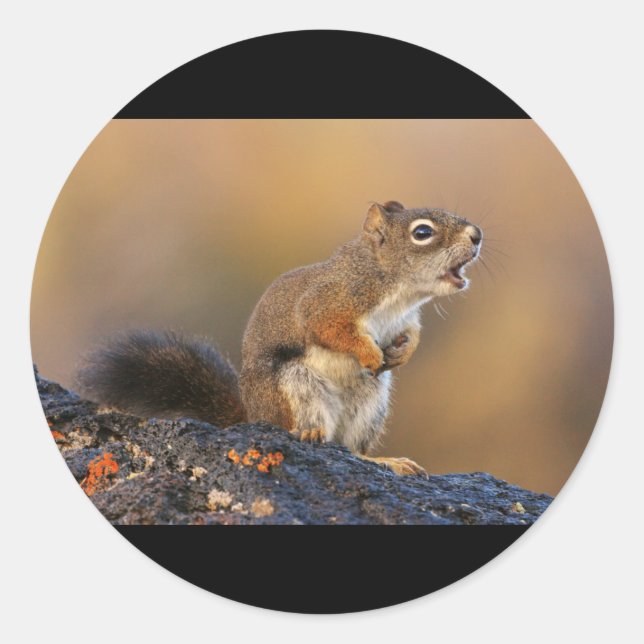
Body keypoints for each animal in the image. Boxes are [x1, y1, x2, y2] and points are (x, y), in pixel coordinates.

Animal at [78, 201, 482, 476]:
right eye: (422, 233)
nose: (477, 236)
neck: (398, 292)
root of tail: (252, 414)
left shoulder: (406, 319)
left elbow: (411, 335)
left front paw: (403, 353)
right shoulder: (328, 303)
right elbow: (331, 329)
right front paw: (368, 354)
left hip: (370, 404)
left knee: (350, 449)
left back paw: (383, 460)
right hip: (294, 386)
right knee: (302, 428)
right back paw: (310, 434)